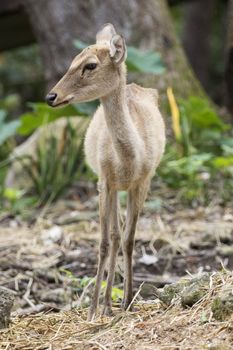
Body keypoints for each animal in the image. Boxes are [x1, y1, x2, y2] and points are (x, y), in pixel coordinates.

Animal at [45, 23, 166, 322]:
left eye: (90, 65)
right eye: (72, 60)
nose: (50, 96)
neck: (128, 160)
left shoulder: (143, 181)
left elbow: (130, 239)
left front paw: (128, 302)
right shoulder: (104, 180)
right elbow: (103, 241)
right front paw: (92, 310)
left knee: (120, 234)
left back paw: (116, 303)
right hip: (108, 188)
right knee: (112, 234)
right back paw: (106, 305)